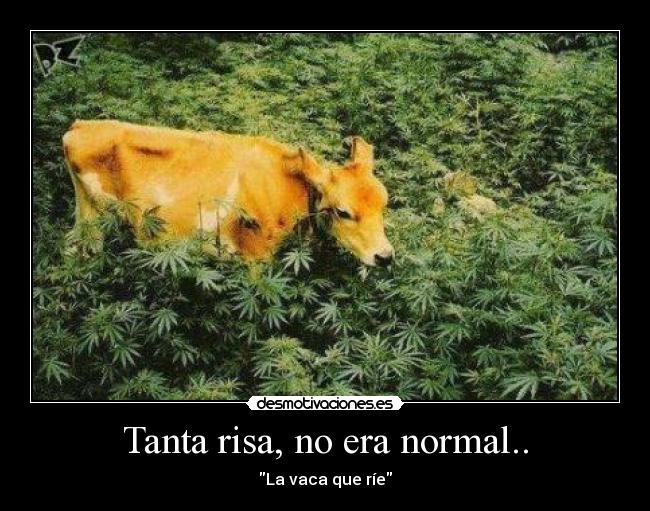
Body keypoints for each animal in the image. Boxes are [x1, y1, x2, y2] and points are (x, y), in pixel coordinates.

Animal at [62, 120, 394, 266]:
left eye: (384, 204)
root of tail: (81, 125)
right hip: (93, 217)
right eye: (343, 212)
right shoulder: (256, 256)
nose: (385, 256)